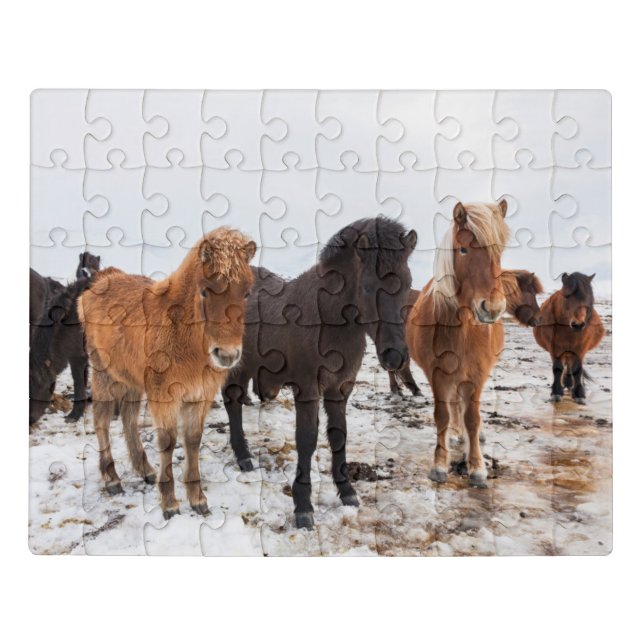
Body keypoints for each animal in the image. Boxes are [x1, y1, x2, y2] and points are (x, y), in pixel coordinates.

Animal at [78, 228, 256, 518]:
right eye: (205, 292)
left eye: (247, 293)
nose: (227, 354)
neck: (183, 333)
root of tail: (101, 281)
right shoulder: (164, 396)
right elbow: (168, 442)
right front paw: (170, 503)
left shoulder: (200, 396)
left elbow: (192, 441)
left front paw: (197, 498)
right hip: (104, 374)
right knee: (101, 421)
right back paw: (112, 478)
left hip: (131, 380)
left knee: (128, 419)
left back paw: (145, 470)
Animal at [223, 217, 417, 529]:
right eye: (367, 287)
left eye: (408, 283)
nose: (395, 356)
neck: (328, 320)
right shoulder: (307, 389)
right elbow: (307, 439)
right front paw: (303, 506)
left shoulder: (340, 388)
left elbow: (339, 435)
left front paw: (347, 491)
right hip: (239, 366)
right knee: (232, 400)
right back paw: (243, 457)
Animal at [406, 199, 509, 488]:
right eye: (463, 249)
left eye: (499, 251)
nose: (492, 308)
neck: (462, 329)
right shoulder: (438, 375)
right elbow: (442, 415)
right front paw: (439, 465)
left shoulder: (476, 375)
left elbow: (472, 419)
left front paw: (477, 467)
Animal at [533, 272, 604, 404]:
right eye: (567, 297)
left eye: (588, 298)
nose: (578, 324)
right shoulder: (554, 348)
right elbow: (557, 368)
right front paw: (556, 393)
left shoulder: (580, 348)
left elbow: (577, 369)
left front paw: (579, 394)